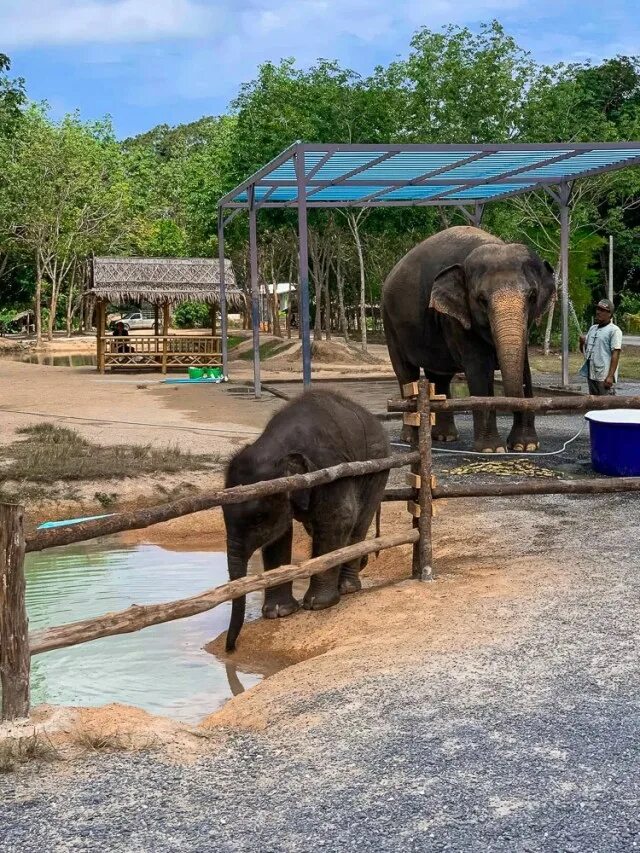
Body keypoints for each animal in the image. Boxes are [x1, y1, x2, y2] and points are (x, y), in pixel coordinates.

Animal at [220, 390, 390, 648]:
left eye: (258, 518)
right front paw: (278, 612)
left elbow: (338, 518)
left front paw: (317, 605)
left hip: (377, 468)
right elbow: (279, 535)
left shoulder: (331, 470)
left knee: (359, 523)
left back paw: (348, 588)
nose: (231, 648)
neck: (278, 446)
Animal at [380, 225, 556, 452]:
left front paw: (525, 446)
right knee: (406, 374)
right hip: (390, 323)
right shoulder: (456, 320)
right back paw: (412, 439)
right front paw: (492, 449)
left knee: (439, 376)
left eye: (532, 296)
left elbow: (524, 369)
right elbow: (479, 371)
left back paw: (445, 437)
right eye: (482, 299)